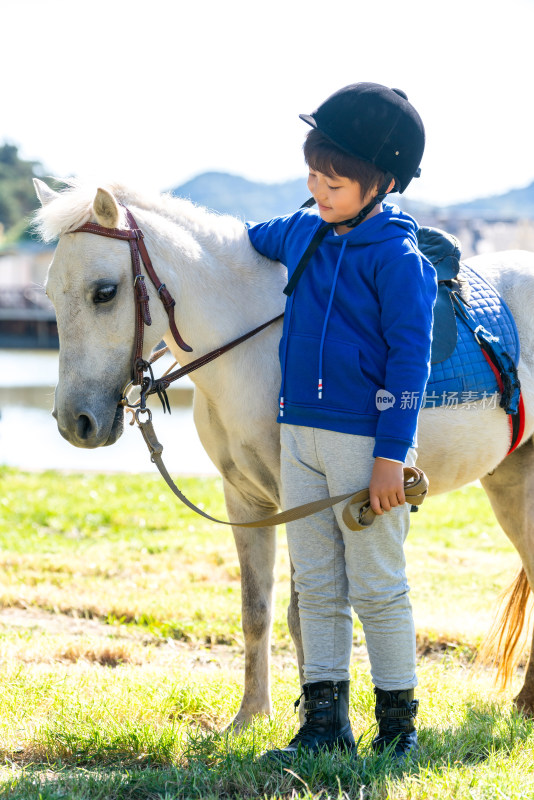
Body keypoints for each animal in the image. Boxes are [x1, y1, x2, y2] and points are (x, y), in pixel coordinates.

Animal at [32, 178, 534, 728]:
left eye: (104, 292)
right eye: (50, 294)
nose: (75, 423)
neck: (253, 348)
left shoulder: (304, 500)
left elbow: (304, 612)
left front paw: (316, 720)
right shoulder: (246, 501)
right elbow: (256, 610)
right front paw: (251, 716)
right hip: (512, 484)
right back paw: (525, 703)